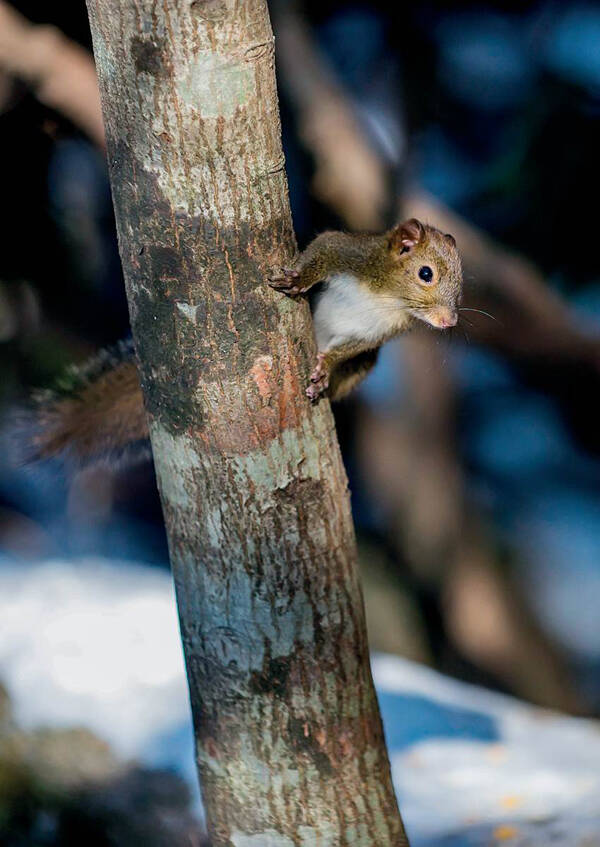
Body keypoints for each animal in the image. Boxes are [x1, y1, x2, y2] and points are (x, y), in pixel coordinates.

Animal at [25, 219, 462, 468]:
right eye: (425, 273)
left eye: (461, 287)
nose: (450, 320)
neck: (388, 296)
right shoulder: (349, 253)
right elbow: (322, 250)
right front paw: (299, 279)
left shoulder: (377, 334)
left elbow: (345, 351)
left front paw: (324, 368)